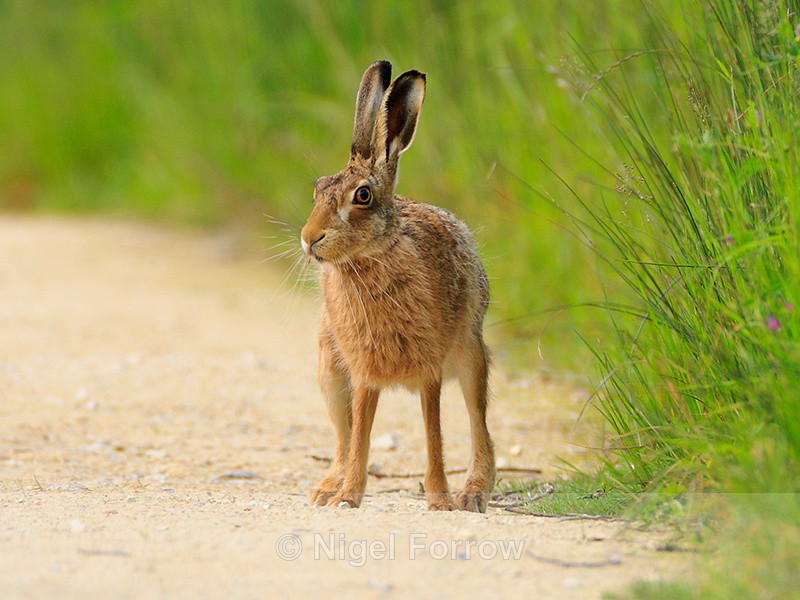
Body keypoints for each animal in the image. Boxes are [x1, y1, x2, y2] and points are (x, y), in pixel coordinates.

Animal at [301, 60, 495, 512]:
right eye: (317, 189)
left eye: (363, 196)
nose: (309, 237)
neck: (371, 261)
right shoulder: (363, 372)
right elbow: (360, 437)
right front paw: (347, 498)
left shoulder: (430, 371)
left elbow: (434, 437)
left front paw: (440, 500)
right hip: (328, 370)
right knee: (342, 438)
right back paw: (326, 489)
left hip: (470, 354)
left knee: (478, 423)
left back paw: (474, 493)